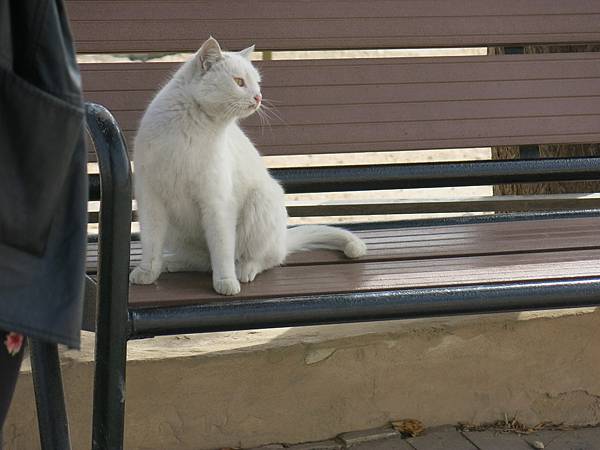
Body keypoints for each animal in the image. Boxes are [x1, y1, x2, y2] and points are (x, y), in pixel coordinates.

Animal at [129, 37, 368, 296]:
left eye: (257, 83)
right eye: (239, 82)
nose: (258, 97)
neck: (191, 130)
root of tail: (282, 240)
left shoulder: (217, 203)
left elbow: (222, 248)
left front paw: (226, 282)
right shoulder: (150, 199)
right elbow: (151, 243)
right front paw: (147, 272)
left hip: (260, 202)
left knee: (265, 259)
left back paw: (244, 270)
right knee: (203, 261)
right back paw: (171, 263)